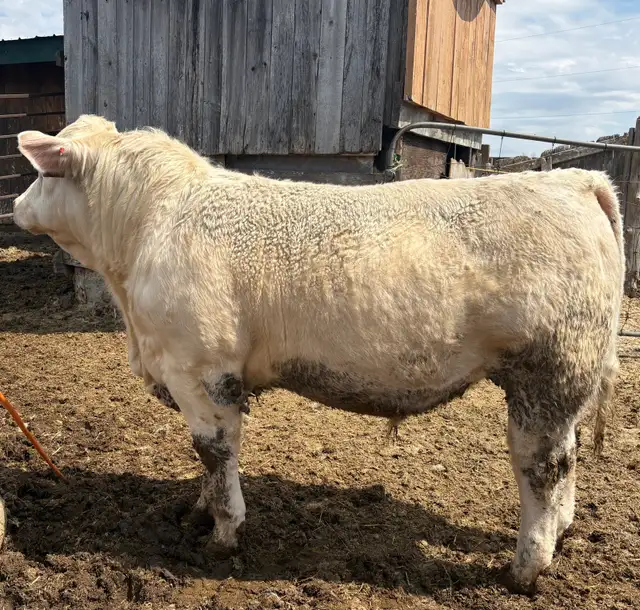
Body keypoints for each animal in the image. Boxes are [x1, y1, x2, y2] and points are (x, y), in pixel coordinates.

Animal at [12, 115, 624, 594]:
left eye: (42, 172)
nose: (15, 206)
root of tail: (576, 178)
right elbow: (207, 463)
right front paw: (198, 512)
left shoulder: (201, 370)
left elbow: (214, 451)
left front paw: (223, 534)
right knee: (567, 458)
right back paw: (563, 533)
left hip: (549, 369)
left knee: (543, 465)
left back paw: (526, 567)